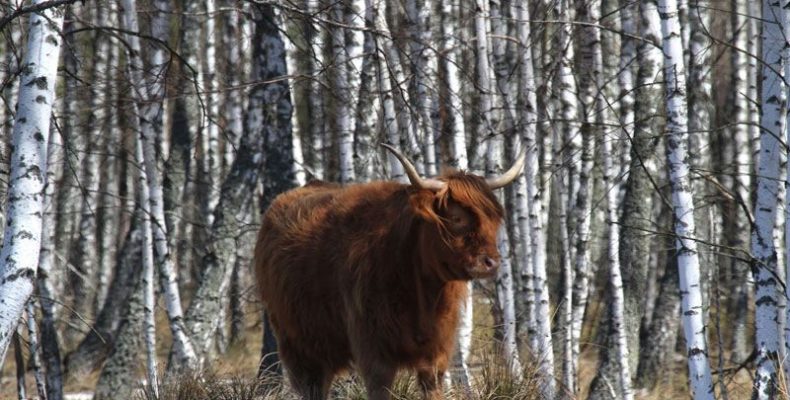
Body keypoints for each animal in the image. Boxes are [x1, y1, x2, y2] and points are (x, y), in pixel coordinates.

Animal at [255, 146, 524, 400]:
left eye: (493, 219)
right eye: (456, 218)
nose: (491, 262)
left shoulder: (436, 351)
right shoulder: (374, 351)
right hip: (298, 344)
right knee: (312, 386)